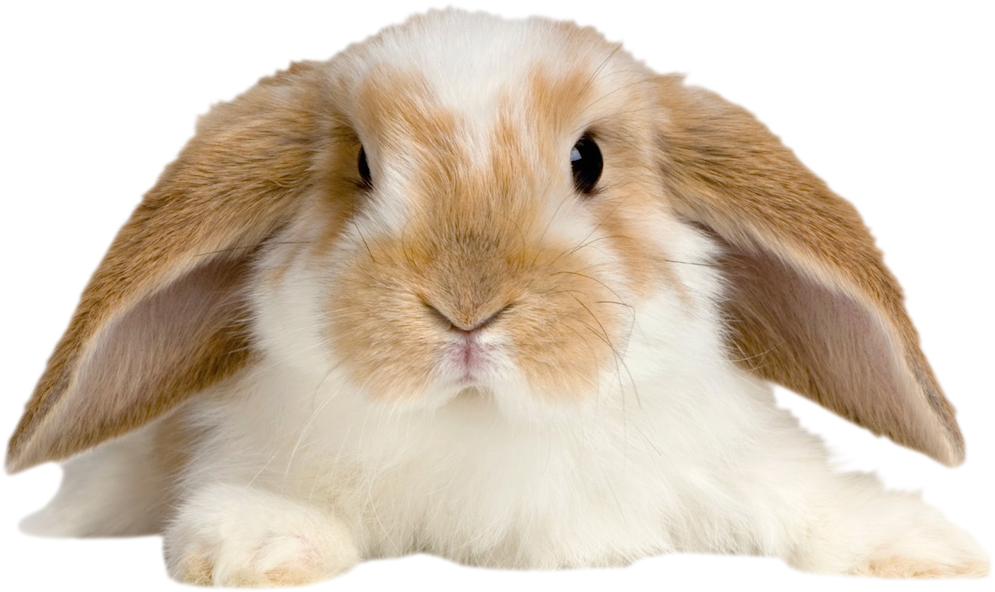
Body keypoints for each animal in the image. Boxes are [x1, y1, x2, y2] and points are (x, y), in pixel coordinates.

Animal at [4, 3, 992, 588]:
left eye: (588, 160)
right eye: (360, 167)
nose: (466, 307)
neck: (487, 424)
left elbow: (807, 496)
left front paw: (928, 549)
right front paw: (259, 548)